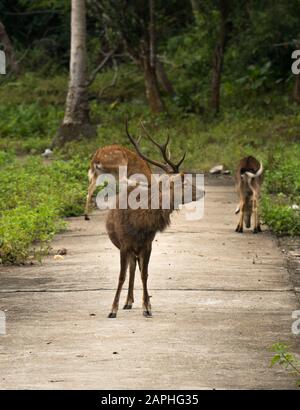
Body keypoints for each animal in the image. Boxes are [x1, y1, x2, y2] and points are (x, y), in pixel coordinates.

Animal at [105, 120, 204, 318]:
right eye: (185, 182)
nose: (203, 191)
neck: (139, 223)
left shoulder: (148, 243)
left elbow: (145, 274)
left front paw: (147, 307)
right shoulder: (124, 244)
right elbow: (121, 276)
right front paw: (112, 309)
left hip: (137, 249)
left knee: (136, 268)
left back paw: (131, 301)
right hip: (127, 247)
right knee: (131, 268)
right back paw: (126, 302)